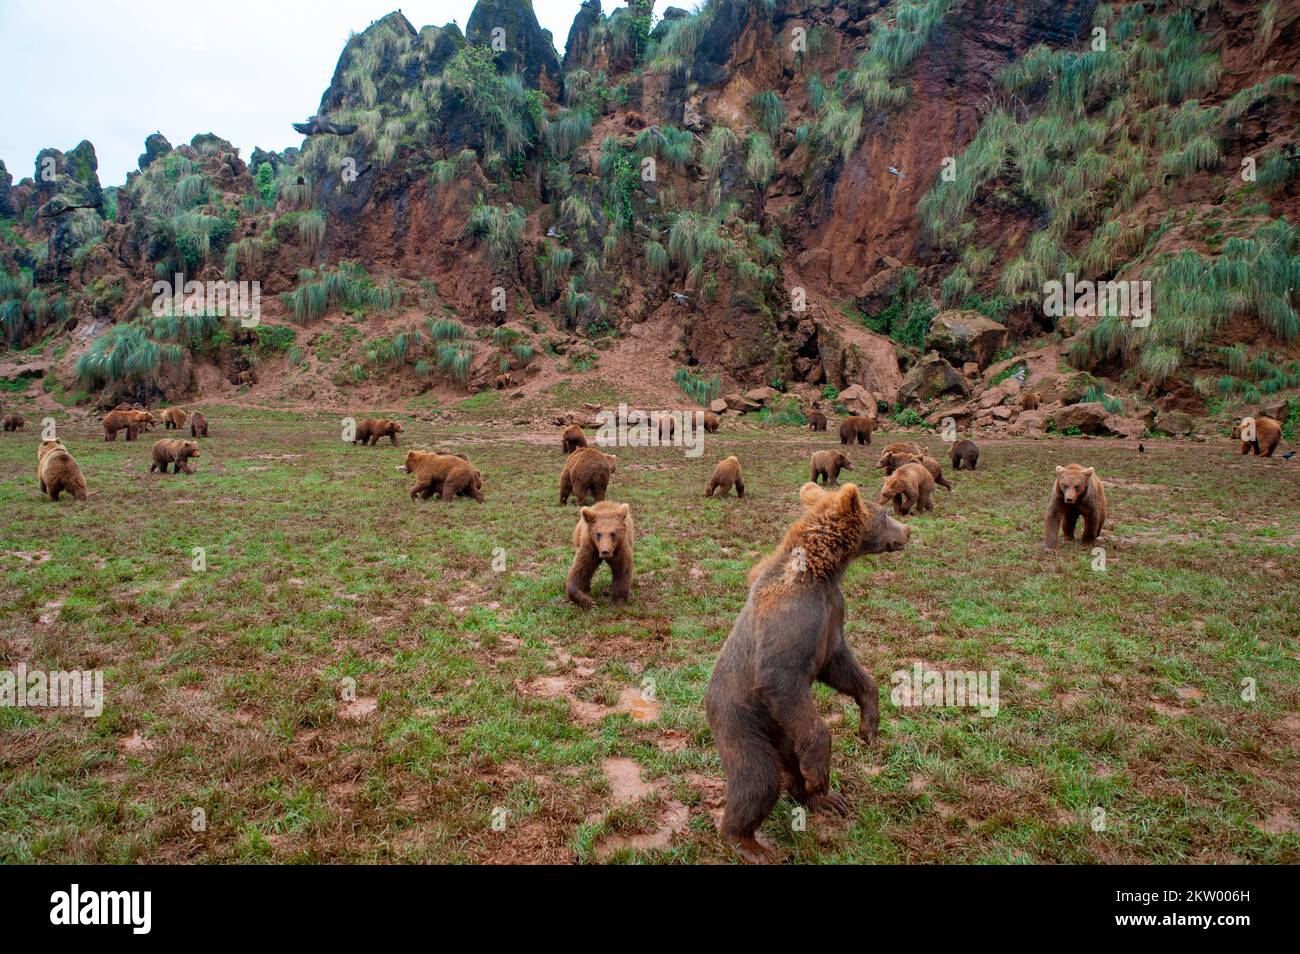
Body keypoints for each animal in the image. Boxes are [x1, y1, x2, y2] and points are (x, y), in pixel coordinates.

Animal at [705, 482, 910, 863]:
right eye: (885, 513)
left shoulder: (831, 617)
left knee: (788, 772)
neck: (824, 573)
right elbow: (783, 680)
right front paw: (821, 777)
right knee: (758, 778)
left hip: (785, 733)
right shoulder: (789, 622)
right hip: (741, 721)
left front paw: (869, 726)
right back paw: (747, 842)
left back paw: (826, 801)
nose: (907, 530)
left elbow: (845, 668)